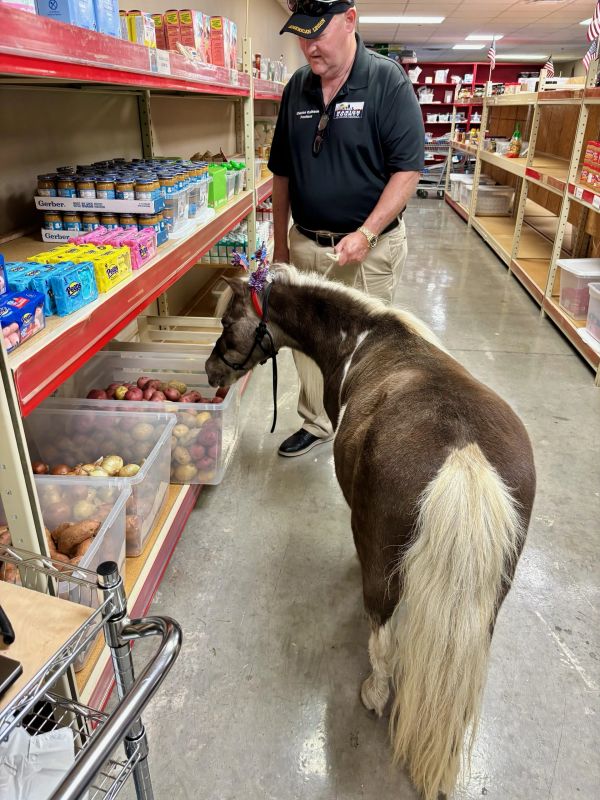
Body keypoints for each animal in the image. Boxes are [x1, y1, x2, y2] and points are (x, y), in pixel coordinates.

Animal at [205, 264, 536, 800]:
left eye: (227, 323)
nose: (210, 373)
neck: (364, 337)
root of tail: (463, 456)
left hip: (385, 577)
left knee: (381, 635)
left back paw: (374, 693)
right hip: (493, 594)